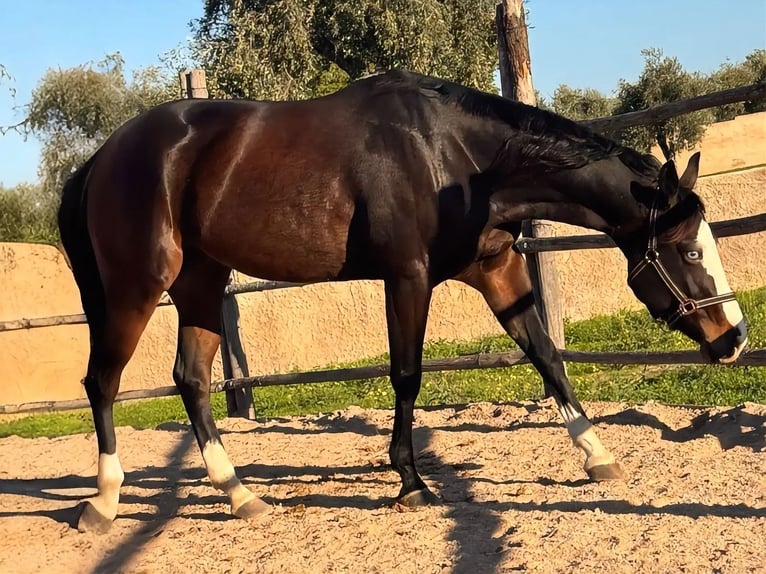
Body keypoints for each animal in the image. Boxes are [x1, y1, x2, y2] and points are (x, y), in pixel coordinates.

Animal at [57, 69, 748, 533]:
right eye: (690, 252)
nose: (735, 339)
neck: (457, 159)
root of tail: (104, 156)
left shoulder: (497, 269)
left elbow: (548, 356)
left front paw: (599, 456)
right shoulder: (408, 278)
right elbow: (408, 374)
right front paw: (411, 482)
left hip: (200, 284)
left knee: (192, 381)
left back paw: (241, 495)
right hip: (136, 287)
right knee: (102, 380)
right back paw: (104, 502)